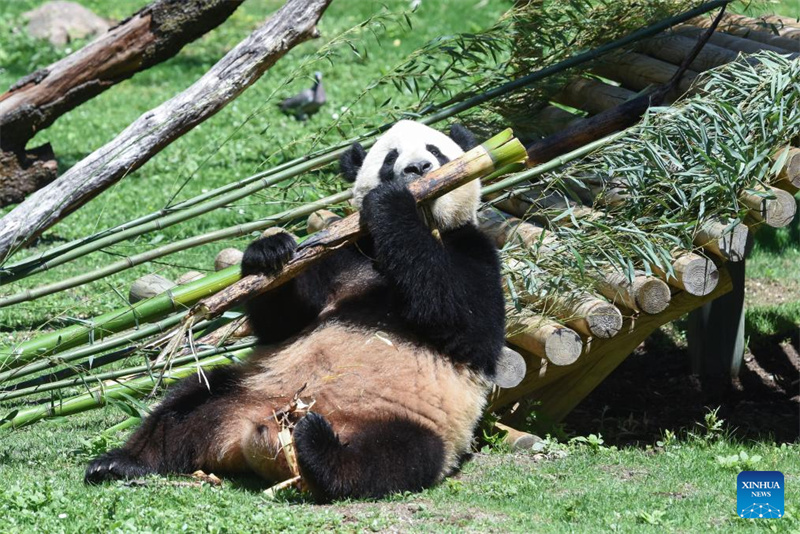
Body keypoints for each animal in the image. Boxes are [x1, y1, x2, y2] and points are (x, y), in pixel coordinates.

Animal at [83, 120, 506, 502]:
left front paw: (393, 203)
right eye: (391, 158)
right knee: (188, 402)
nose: (418, 169)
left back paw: (319, 448)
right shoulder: (338, 253)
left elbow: (464, 321)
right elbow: (283, 323)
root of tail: (251, 439)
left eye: (436, 150)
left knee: (393, 457)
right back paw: (121, 462)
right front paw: (269, 252)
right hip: (249, 389)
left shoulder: (477, 250)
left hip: (413, 419)